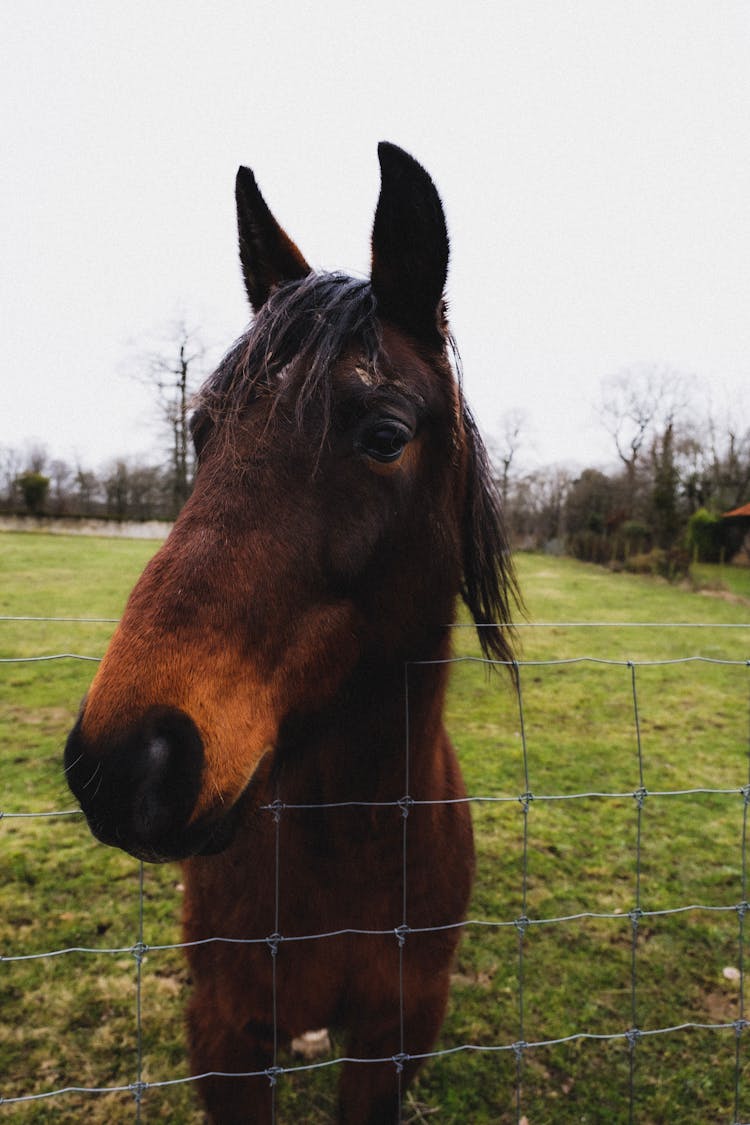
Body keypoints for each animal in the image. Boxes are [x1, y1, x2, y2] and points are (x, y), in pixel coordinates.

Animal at [66, 145, 517, 1120]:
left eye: (386, 434)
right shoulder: (226, 1035)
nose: (124, 761)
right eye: (202, 430)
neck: (350, 847)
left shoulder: (397, 1034)